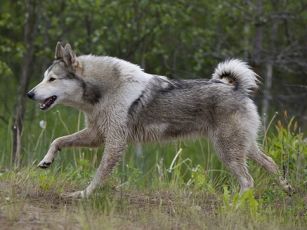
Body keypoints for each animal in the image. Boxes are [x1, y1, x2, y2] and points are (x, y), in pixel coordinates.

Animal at [27, 41, 294, 198]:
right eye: (44, 77)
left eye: (52, 79)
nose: (29, 94)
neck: (103, 91)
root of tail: (236, 88)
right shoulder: (96, 137)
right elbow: (57, 141)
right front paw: (46, 161)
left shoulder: (114, 143)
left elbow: (99, 174)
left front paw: (84, 194)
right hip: (244, 148)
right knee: (271, 164)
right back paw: (287, 189)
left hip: (228, 152)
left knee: (248, 181)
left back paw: (236, 204)